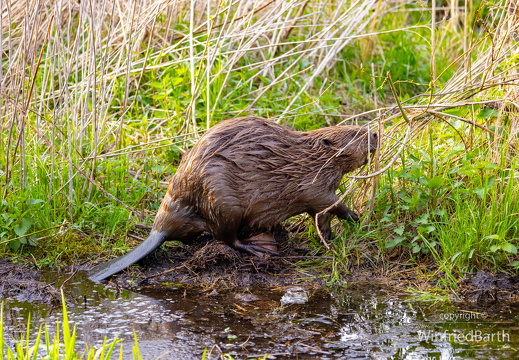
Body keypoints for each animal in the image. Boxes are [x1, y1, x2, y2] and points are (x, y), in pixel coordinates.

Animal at [88, 116, 378, 282]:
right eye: (355, 133)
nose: (375, 133)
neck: (310, 158)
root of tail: (159, 230)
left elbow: (322, 215)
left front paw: (329, 236)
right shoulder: (312, 183)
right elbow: (328, 202)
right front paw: (356, 216)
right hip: (222, 200)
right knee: (225, 237)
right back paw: (258, 247)